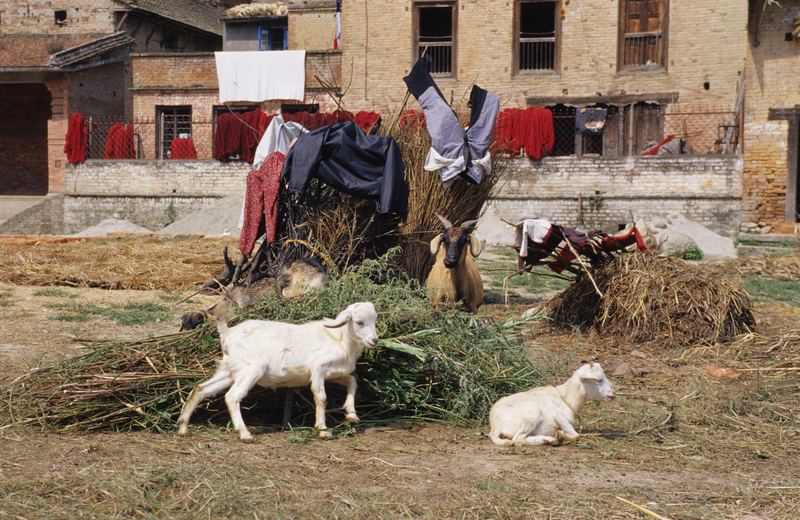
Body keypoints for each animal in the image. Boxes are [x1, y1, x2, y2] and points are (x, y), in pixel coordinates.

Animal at [180, 300, 380, 438]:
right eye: (360, 322)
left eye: (375, 321)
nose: (375, 340)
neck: (338, 338)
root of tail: (227, 334)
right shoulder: (318, 368)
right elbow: (321, 397)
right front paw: (323, 430)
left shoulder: (335, 373)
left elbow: (352, 381)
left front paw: (352, 414)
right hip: (253, 368)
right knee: (232, 397)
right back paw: (245, 433)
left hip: (230, 371)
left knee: (201, 389)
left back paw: (183, 427)